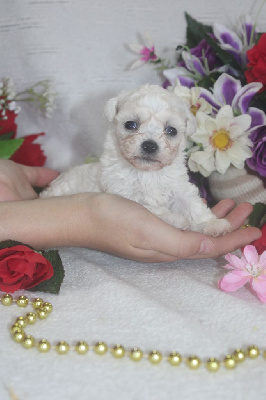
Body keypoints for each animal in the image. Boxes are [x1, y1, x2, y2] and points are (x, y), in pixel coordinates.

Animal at [41, 83, 231, 234]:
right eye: (130, 124)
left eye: (171, 130)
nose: (150, 145)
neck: (146, 173)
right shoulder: (127, 195)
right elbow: (154, 209)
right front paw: (177, 219)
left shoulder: (179, 187)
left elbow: (193, 206)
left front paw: (211, 224)